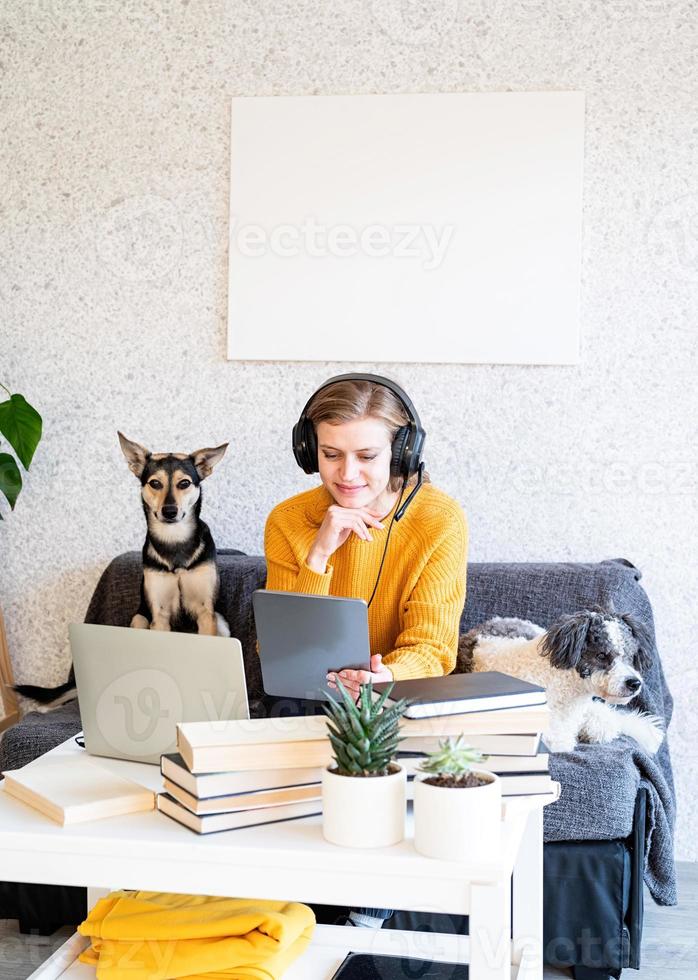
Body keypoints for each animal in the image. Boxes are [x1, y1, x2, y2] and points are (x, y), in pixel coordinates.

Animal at [117, 434, 228, 636]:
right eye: (155, 483)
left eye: (184, 483)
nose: (169, 511)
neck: (174, 537)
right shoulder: (159, 612)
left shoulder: (206, 611)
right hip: (139, 618)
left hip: (222, 623)